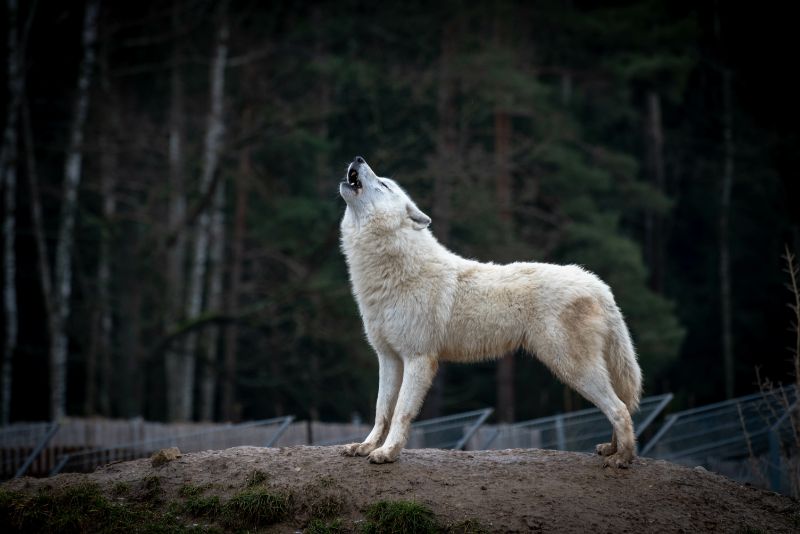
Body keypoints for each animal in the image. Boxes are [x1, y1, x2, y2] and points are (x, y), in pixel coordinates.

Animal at [338, 156, 644, 468]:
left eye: (383, 184)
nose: (358, 159)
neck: (393, 271)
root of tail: (597, 284)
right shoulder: (388, 357)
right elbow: (381, 410)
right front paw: (365, 446)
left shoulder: (418, 359)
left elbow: (400, 412)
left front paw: (387, 453)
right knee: (620, 405)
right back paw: (612, 449)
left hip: (571, 367)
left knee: (620, 408)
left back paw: (623, 458)